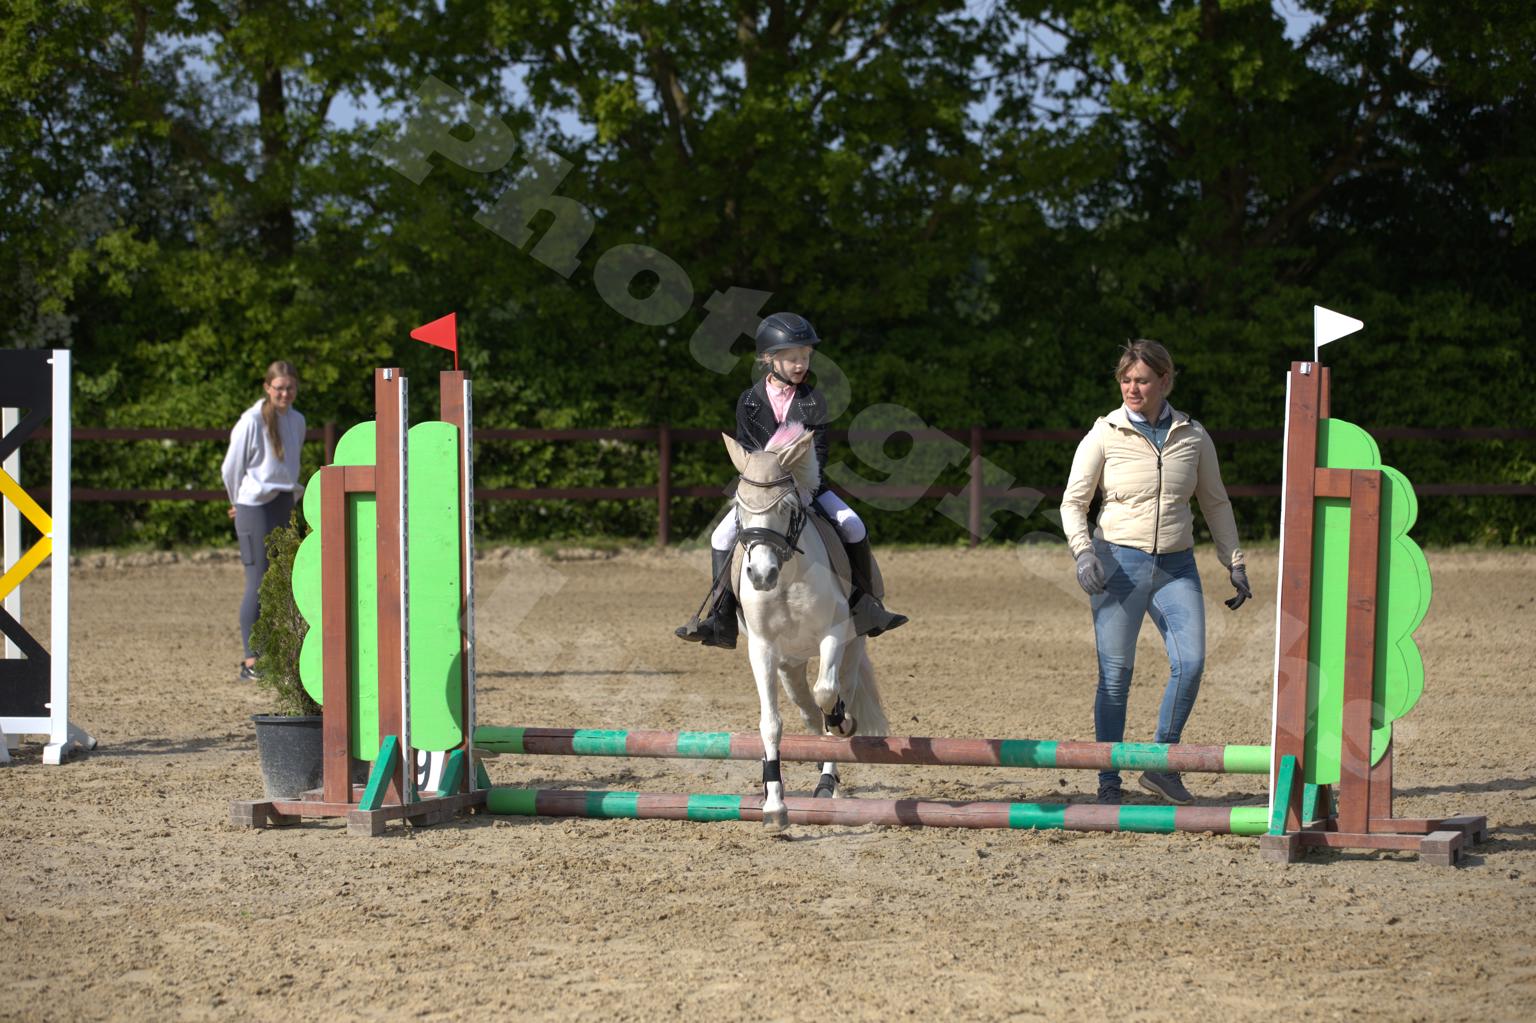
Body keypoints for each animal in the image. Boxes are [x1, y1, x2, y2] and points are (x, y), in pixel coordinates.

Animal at [722, 422, 890, 831]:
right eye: (739, 509)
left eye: (786, 508)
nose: (761, 575)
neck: (787, 575)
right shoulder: (763, 648)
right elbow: (771, 723)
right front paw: (774, 807)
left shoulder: (834, 634)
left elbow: (828, 693)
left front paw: (843, 724)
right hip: (789, 665)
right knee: (807, 711)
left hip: (852, 648)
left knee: (835, 695)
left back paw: (830, 775)